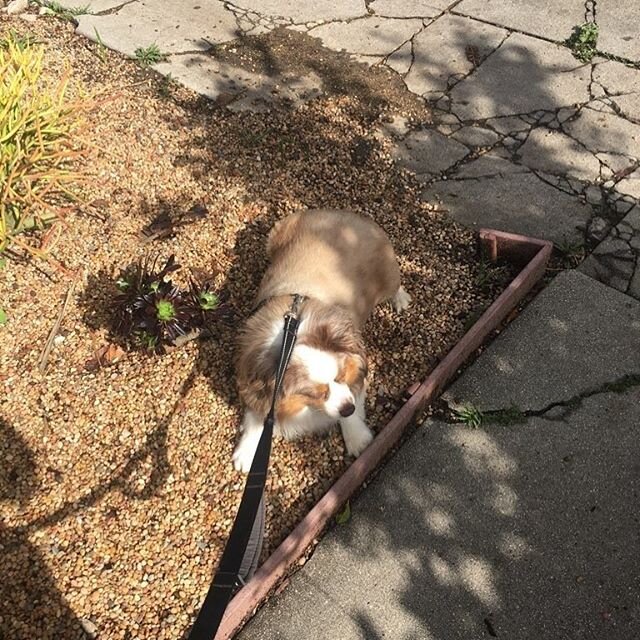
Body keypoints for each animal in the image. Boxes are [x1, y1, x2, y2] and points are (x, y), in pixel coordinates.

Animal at [234, 208, 410, 472]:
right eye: (317, 394)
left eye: (341, 376)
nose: (347, 408)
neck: (292, 333)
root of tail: (346, 215)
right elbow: (256, 416)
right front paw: (246, 454)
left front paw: (357, 440)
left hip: (389, 273)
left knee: (395, 287)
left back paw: (400, 300)